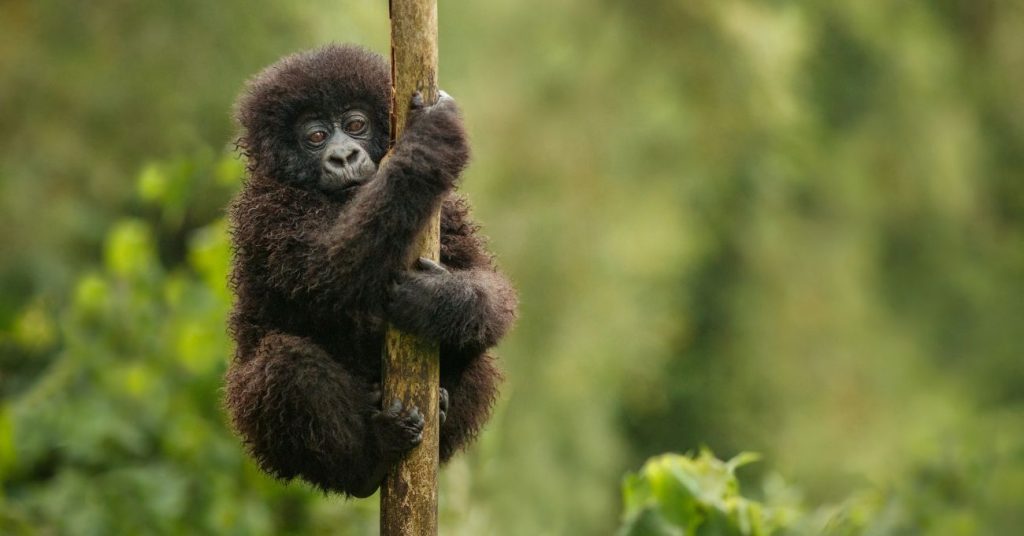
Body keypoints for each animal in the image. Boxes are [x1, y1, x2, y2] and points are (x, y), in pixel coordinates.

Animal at [221, 46, 516, 500]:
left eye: (356, 125)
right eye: (316, 136)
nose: (344, 156)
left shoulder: (446, 211)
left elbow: (489, 287)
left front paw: (438, 301)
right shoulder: (266, 212)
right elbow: (330, 272)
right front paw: (429, 142)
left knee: (480, 353)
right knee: (284, 364)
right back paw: (368, 461)